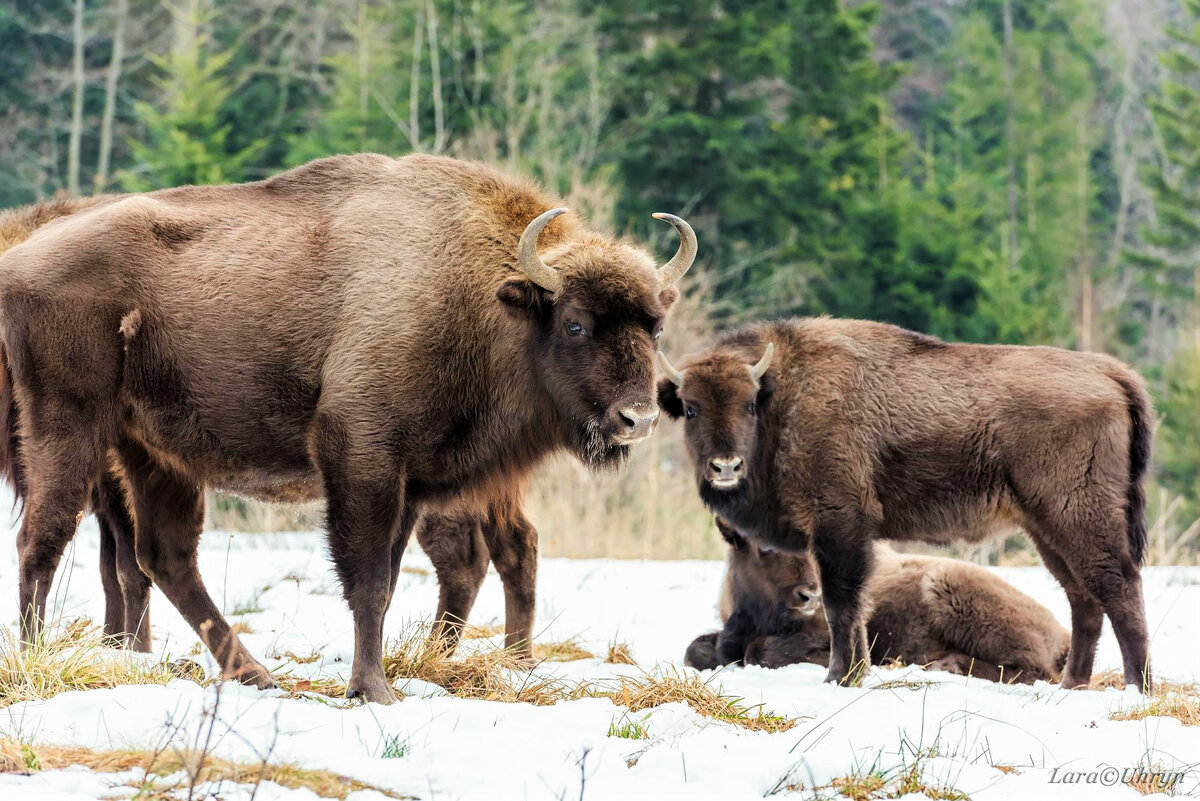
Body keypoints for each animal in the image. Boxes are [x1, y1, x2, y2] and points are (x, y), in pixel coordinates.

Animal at [0, 153, 700, 705]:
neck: (481, 295)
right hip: (69, 427)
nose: (639, 417)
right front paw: (375, 691)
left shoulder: (410, 484)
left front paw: (374, 683)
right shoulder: (361, 458)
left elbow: (385, 583)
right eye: (576, 322)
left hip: (153, 454)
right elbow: (366, 581)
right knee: (46, 538)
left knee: (165, 557)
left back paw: (255, 674)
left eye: (656, 325)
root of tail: (21, 263)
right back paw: (36, 660)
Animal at [686, 522, 1070, 685]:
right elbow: (698, 650)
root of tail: (1063, 634)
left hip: (945, 584)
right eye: (763, 547)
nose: (811, 593)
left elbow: (759, 651)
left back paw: (948, 665)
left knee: (1038, 671)